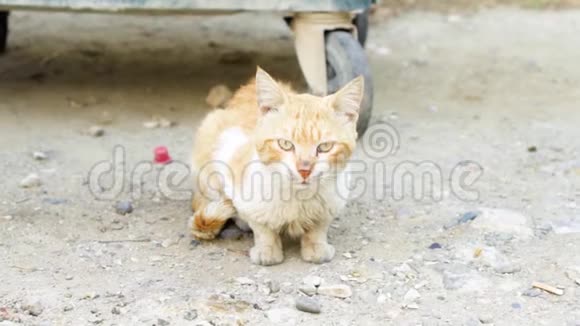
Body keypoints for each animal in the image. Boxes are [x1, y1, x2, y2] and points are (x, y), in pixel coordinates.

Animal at [190, 67, 362, 264]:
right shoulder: (229, 152)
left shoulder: (334, 200)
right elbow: (260, 224)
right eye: (285, 144)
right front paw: (267, 249)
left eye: (325, 147)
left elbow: (319, 226)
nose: (304, 169)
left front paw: (316, 246)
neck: (298, 198)